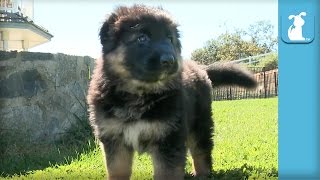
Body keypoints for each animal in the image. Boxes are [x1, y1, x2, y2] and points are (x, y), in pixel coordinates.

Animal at [87, 4, 258, 180]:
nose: (170, 60)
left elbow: (168, 172)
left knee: (201, 150)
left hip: (200, 123)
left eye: (170, 39)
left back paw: (202, 174)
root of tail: (200, 68)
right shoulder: (114, 140)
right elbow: (117, 171)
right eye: (142, 38)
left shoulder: (169, 139)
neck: (139, 93)